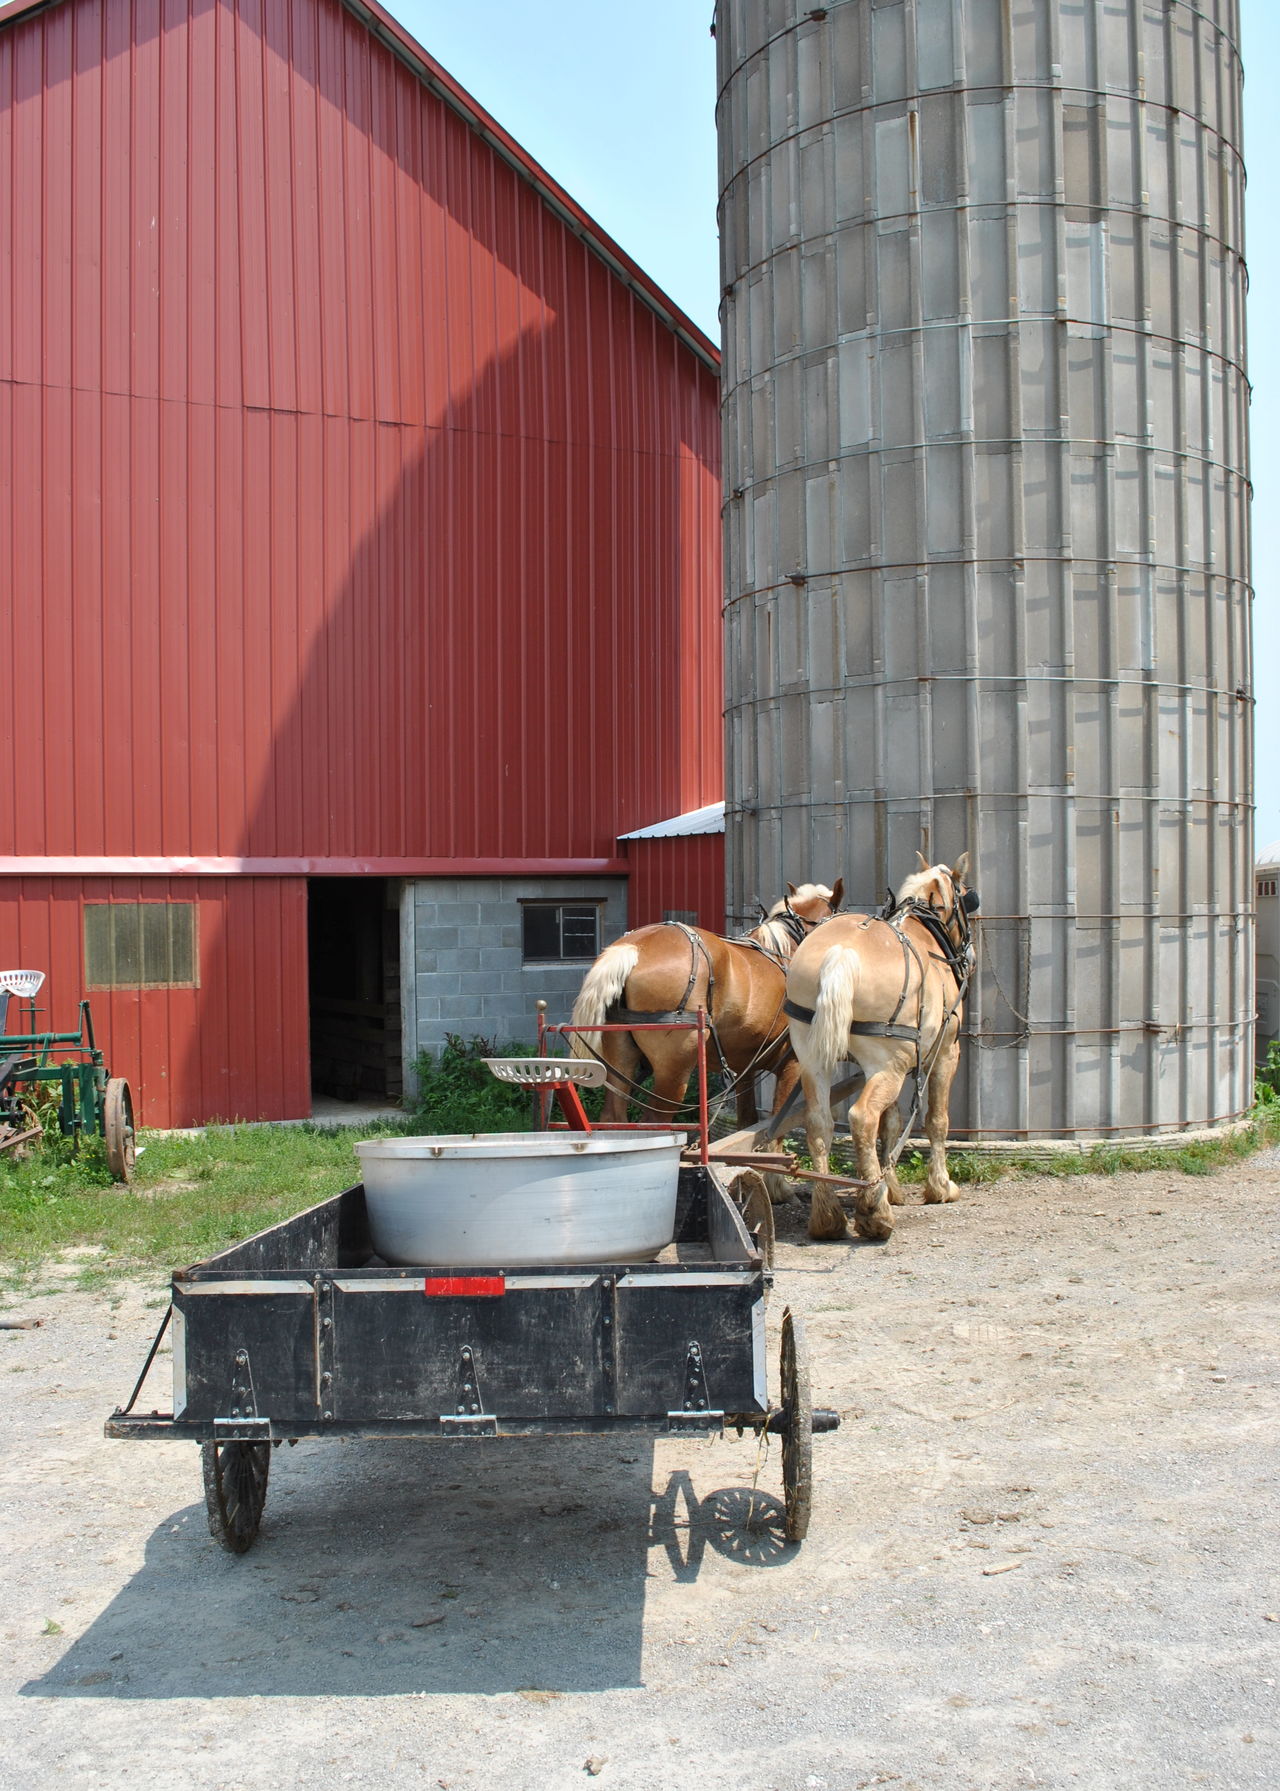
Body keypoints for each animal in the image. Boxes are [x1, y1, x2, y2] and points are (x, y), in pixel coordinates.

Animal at [569, 884, 841, 1124]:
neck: (784, 950)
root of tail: (633, 948)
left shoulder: (745, 1068)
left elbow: (747, 1122)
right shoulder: (792, 1063)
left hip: (620, 1056)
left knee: (614, 1118)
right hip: (673, 1069)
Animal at [780, 859, 981, 1239]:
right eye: (968, 899)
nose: (971, 957)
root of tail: (841, 953)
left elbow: (891, 1123)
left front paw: (893, 1187)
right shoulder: (945, 1055)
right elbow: (936, 1121)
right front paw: (940, 1187)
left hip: (814, 1058)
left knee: (819, 1121)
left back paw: (828, 1217)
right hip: (890, 1065)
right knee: (862, 1117)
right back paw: (874, 1213)